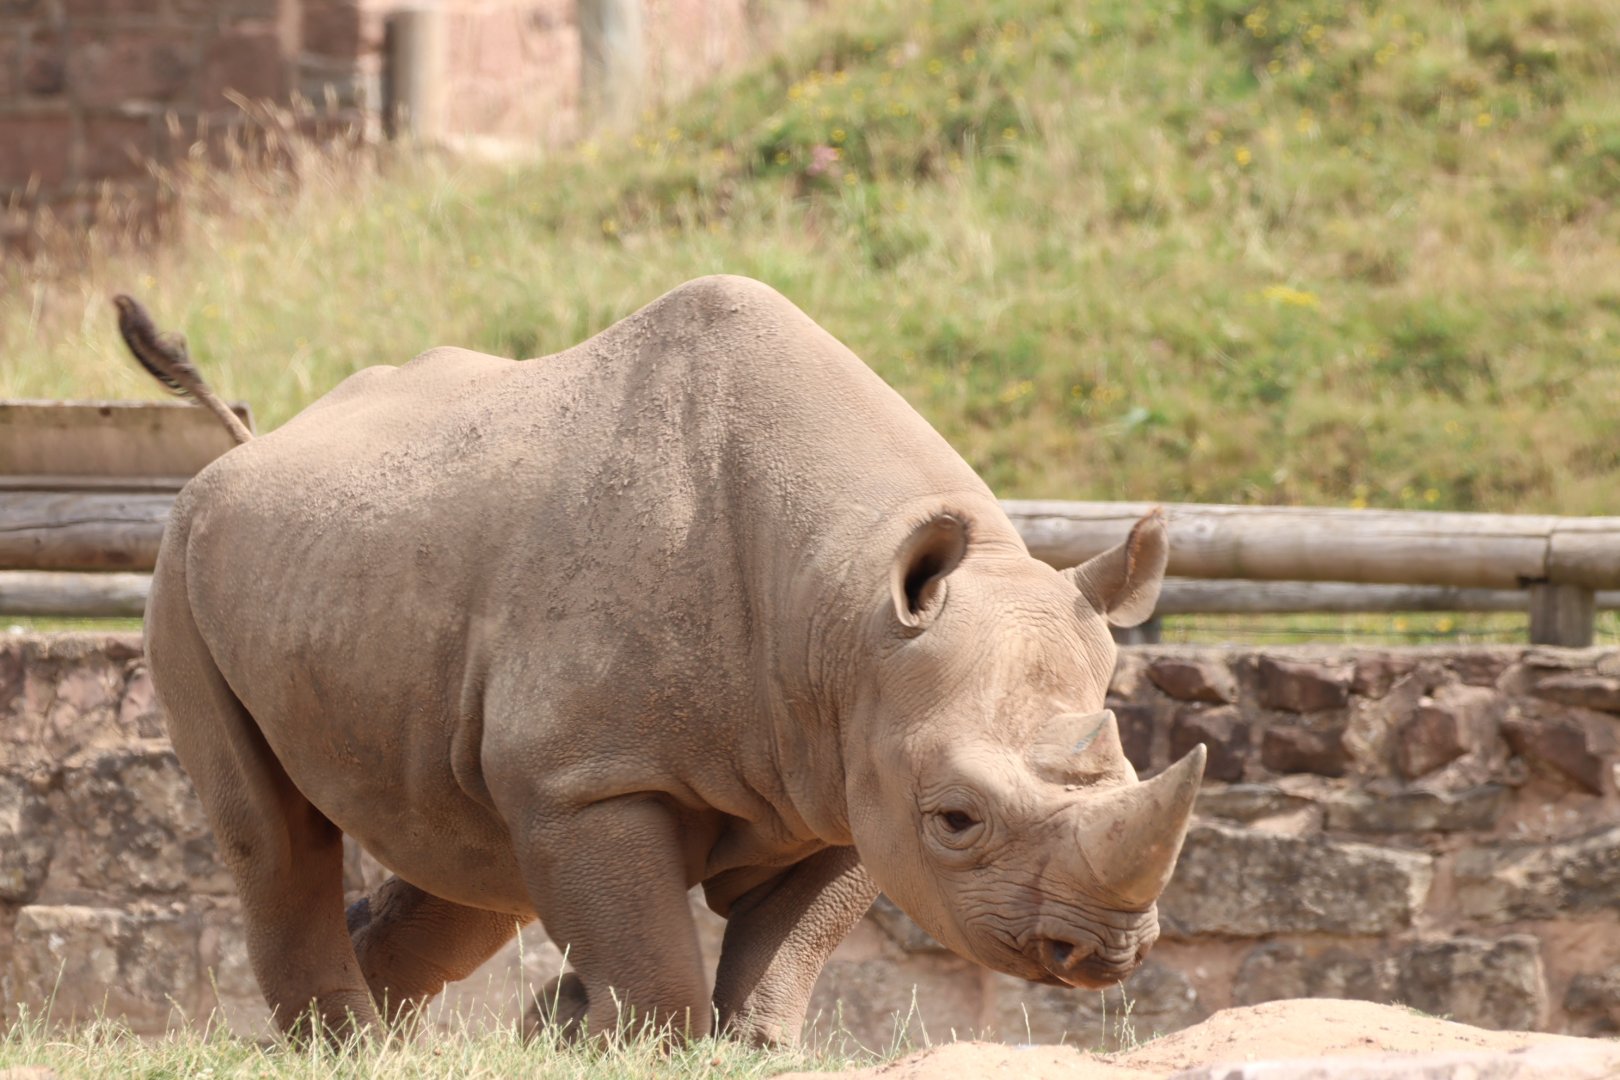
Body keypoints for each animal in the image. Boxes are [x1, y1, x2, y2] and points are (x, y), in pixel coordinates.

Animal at [114, 277, 1205, 1046]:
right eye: (959, 821)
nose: (1103, 952)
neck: (845, 610)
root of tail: (254, 440)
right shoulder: (590, 778)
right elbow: (655, 971)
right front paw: (630, 1043)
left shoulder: (849, 769)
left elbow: (784, 954)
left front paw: (741, 1047)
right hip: (182, 563)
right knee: (274, 836)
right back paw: (339, 1043)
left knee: (468, 858)